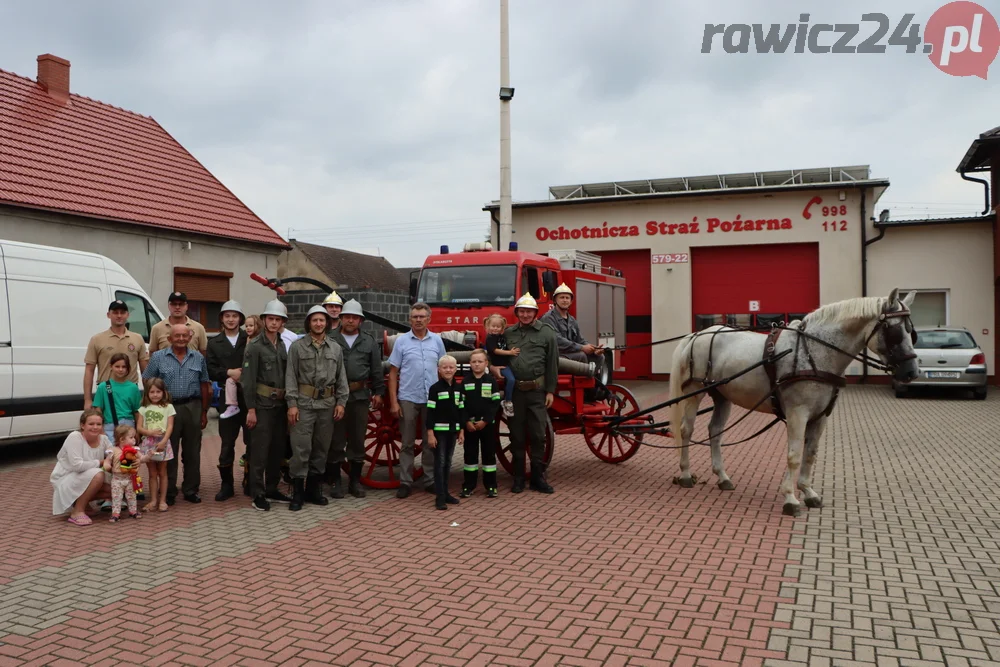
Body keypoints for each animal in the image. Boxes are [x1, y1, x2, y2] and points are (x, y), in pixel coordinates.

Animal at [668, 288, 916, 516]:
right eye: (894, 330)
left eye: (911, 331)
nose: (911, 372)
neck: (815, 352)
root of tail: (696, 335)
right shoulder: (798, 413)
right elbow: (795, 456)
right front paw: (790, 498)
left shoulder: (821, 416)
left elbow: (811, 454)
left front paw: (808, 492)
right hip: (694, 392)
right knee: (687, 430)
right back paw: (686, 474)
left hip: (722, 396)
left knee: (715, 431)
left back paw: (722, 477)